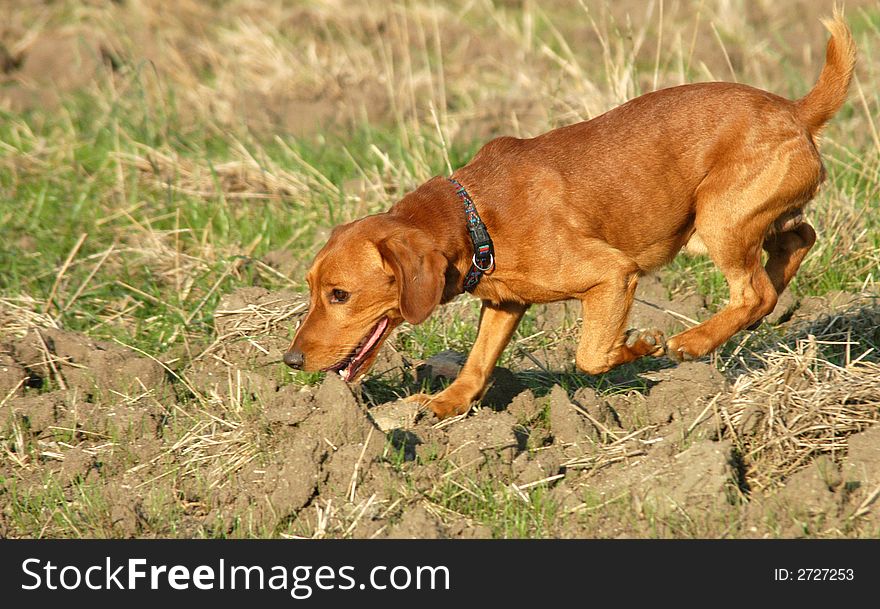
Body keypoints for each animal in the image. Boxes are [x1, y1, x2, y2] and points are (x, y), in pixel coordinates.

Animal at [286, 13, 856, 418]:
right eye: (312, 289)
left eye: (340, 295)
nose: (291, 361)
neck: (475, 218)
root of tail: (796, 111)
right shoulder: (505, 303)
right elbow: (477, 362)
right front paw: (445, 404)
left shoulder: (613, 274)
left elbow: (591, 355)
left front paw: (642, 345)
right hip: (745, 217)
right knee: (795, 246)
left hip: (720, 219)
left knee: (753, 290)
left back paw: (692, 340)